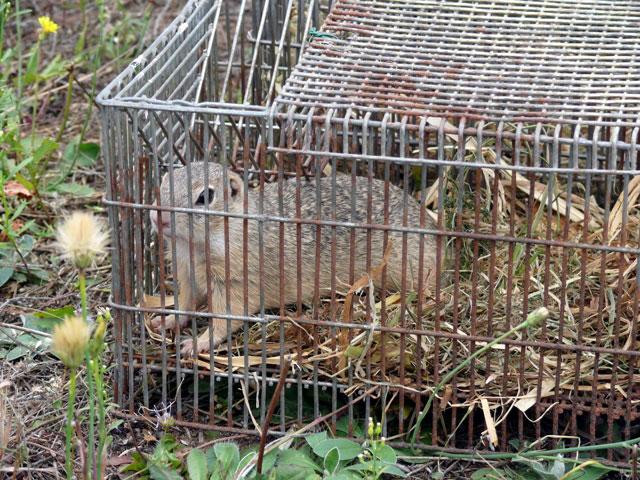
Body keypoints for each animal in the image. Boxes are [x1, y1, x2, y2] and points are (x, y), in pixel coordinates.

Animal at [150, 163, 440, 354]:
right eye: (163, 182)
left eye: (205, 196)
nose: (157, 216)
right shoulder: (186, 274)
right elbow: (185, 304)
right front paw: (166, 321)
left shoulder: (235, 282)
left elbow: (225, 319)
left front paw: (197, 343)